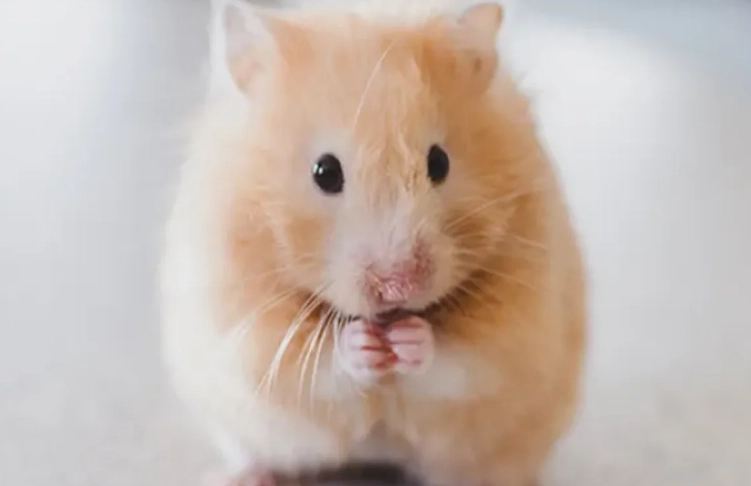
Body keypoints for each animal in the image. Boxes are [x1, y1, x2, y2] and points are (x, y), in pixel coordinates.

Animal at [160, 1, 586, 486]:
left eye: (439, 162)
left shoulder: (518, 325)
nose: (399, 286)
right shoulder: (242, 322)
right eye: (325, 172)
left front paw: (409, 338)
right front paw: (363, 344)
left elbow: (461, 359)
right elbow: (311, 363)